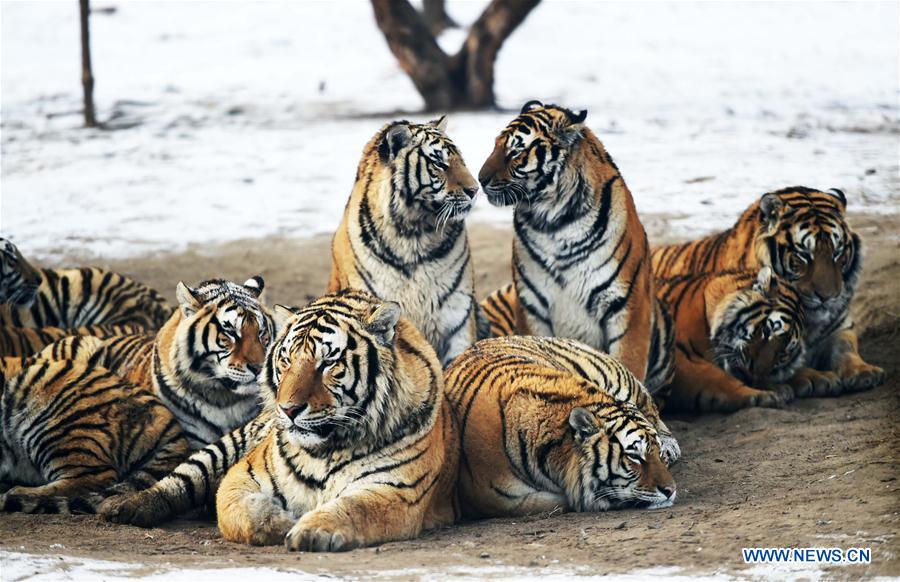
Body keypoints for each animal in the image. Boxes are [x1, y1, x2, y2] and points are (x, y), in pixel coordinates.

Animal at [477, 101, 675, 397]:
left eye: (516, 151)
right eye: (495, 146)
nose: (480, 179)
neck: (554, 223)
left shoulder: (628, 306)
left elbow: (629, 366)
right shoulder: (532, 306)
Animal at [651, 186, 884, 395]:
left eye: (838, 253)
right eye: (803, 255)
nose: (828, 297)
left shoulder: (839, 327)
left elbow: (845, 348)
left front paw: (864, 371)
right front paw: (816, 378)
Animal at [656, 267, 812, 412]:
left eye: (782, 353)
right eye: (767, 331)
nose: (753, 372)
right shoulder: (677, 358)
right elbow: (716, 378)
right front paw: (765, 395)